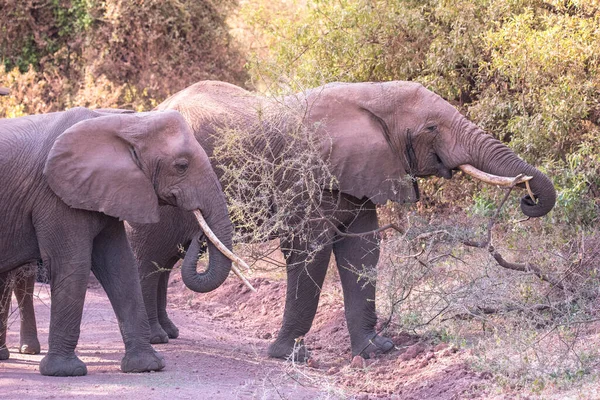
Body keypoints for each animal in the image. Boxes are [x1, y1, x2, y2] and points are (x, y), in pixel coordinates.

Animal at [0, 106, 239, 376]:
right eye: (182, 166)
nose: (199, 234)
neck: (124, 123)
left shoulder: (106, 190)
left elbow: (121, 264)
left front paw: (147, 366)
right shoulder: (55, 196)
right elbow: (73, 265)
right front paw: (66, 371)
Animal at [127, 80, 556, 360]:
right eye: (432, 127)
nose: (528, 199)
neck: (370, 96)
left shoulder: (361, 173)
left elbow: (363, 251)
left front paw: (377, 351)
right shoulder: (306, 175)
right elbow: (309, 250)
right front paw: (288, 356)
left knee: (165, 259)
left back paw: (168, 333)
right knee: (150, 258)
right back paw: (157, 340)